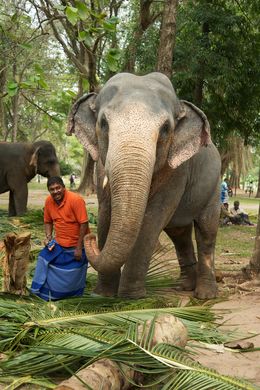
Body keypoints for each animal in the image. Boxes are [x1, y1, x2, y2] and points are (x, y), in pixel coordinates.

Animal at [67, 71, 221, 300]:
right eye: (103, 123)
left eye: (165, 129)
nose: (89, 236)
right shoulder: (100, 167)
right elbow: (106, 213)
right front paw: (103, 295)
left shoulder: (177, 171)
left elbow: (152, 219)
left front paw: (131, 297)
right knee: (180, 234)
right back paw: (184, 286)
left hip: (215, 187)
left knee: (206, 231)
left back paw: (205, 295)